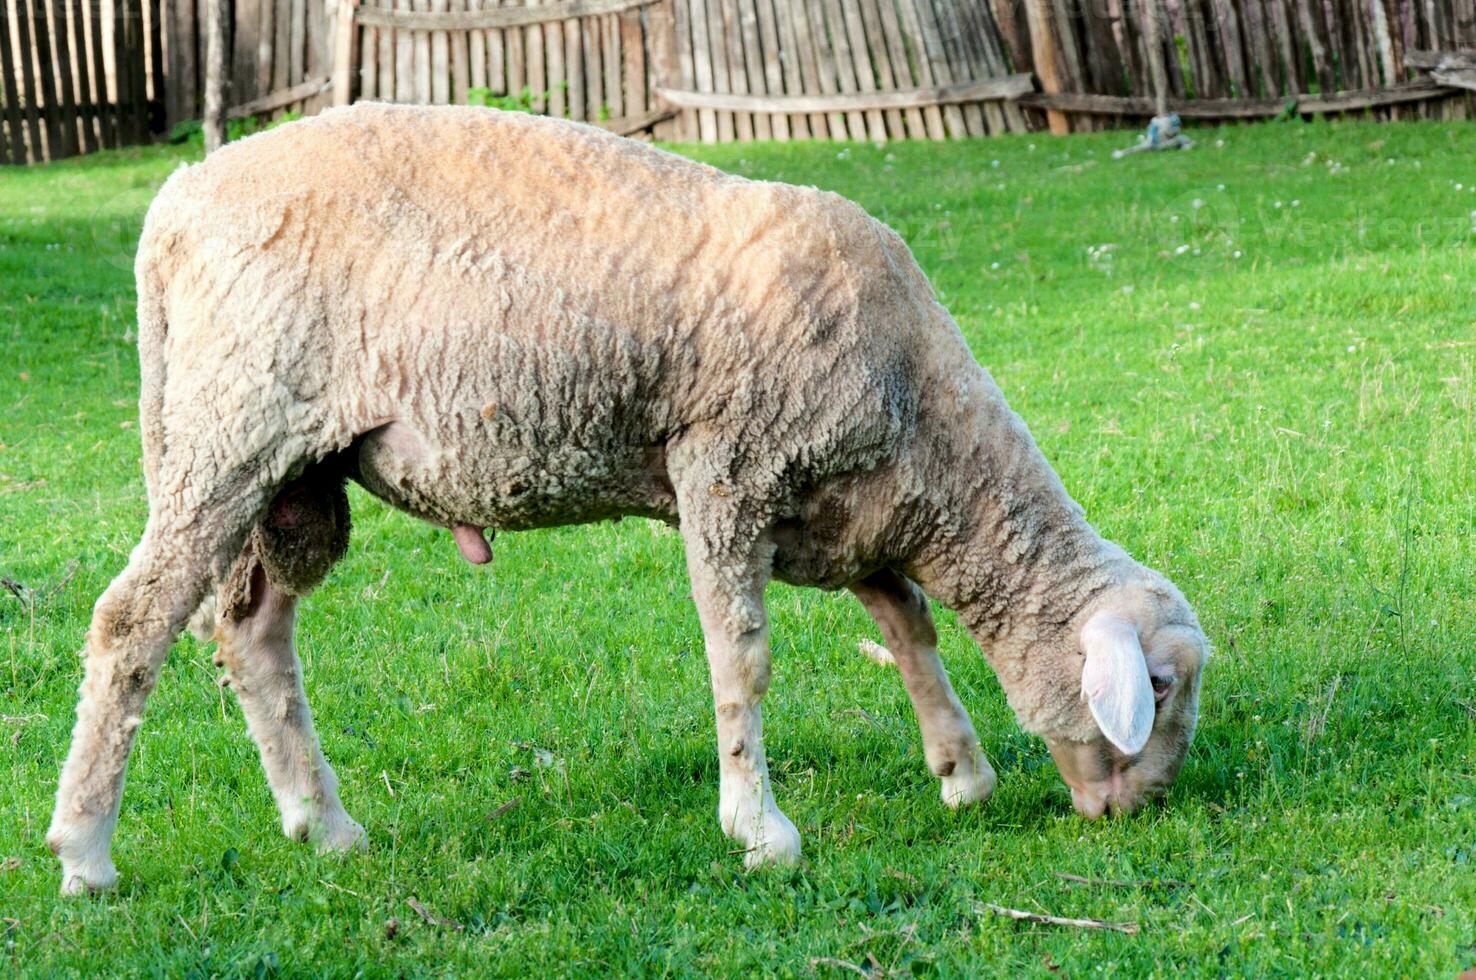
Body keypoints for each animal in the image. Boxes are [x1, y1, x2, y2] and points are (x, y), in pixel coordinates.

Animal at [46, 105, 1210, 897]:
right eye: (1152, 685)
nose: (1141, 811)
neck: (928, 427)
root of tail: (174, 202)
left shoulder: (856, 509)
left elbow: (908, 626)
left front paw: (960, 768)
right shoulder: (727, 468)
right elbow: (743, 659)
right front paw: (760, 830)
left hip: (293, 477)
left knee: (251, 634)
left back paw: (321, 824)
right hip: (228, 432)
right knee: (131, 622)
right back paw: (87, 852)